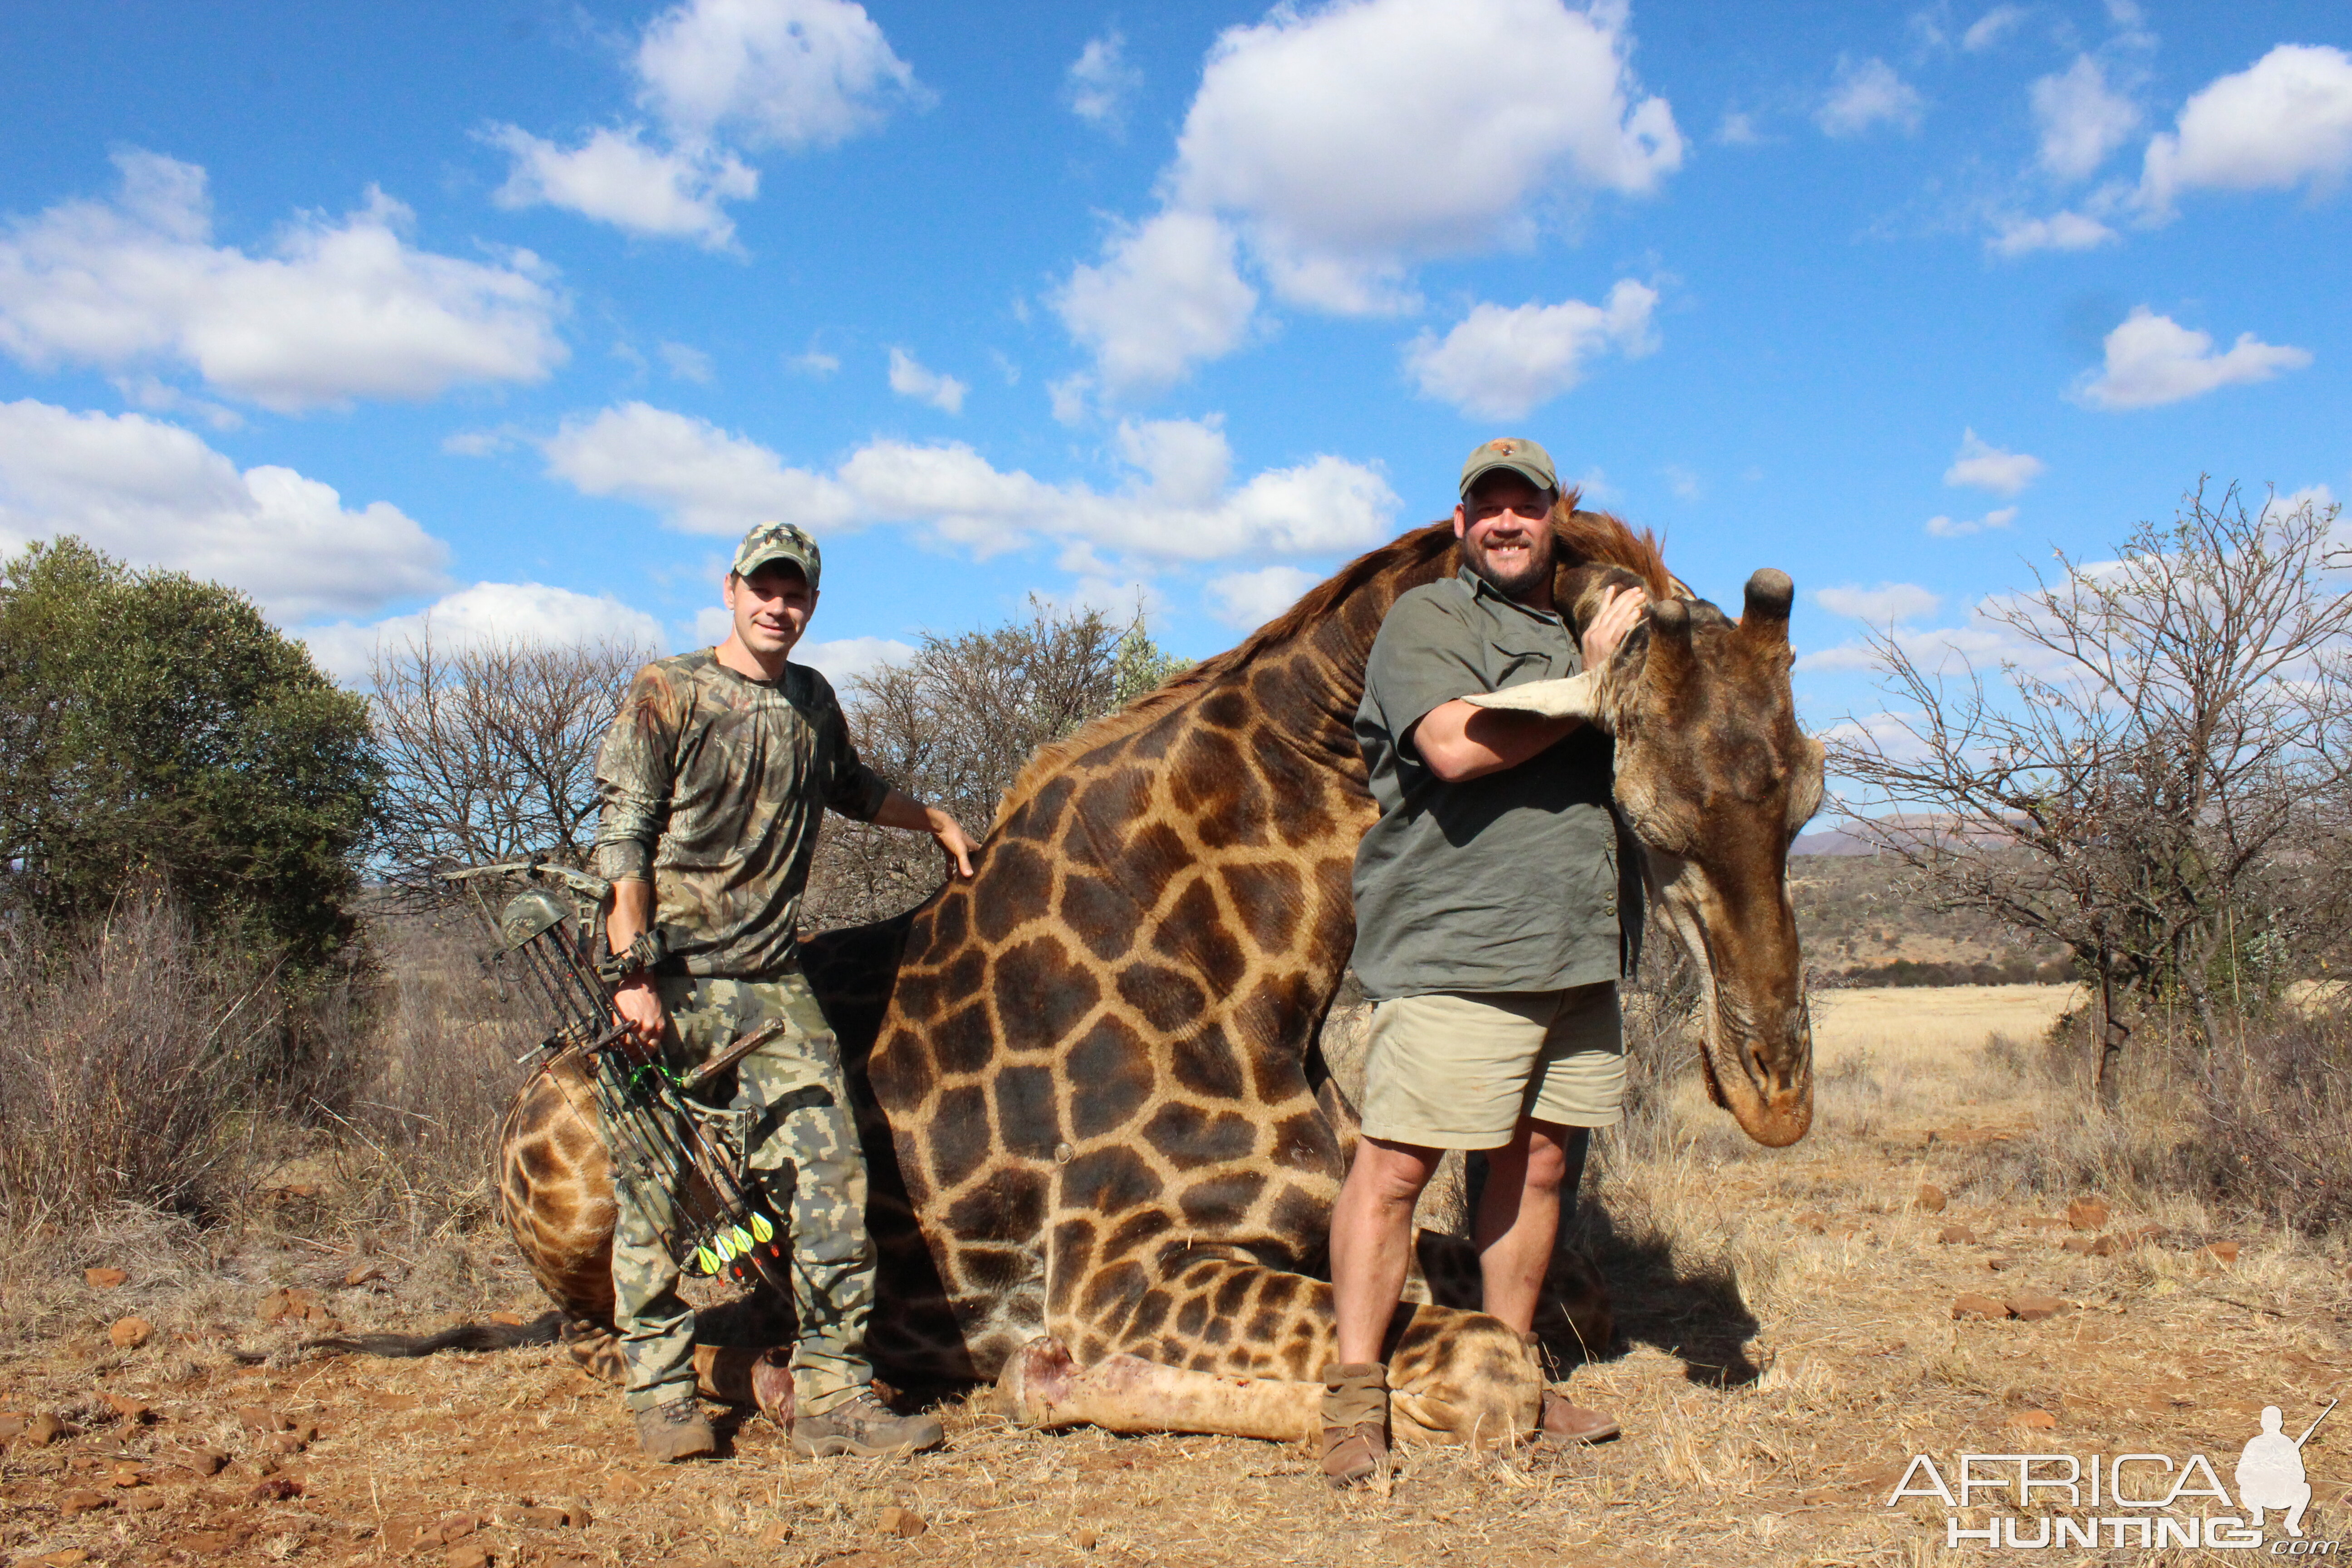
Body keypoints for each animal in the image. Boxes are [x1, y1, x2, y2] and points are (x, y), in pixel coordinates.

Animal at [491, 503, 1816, 1448]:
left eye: (1807, 800)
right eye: (1648, 808)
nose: (1775, 1094)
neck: (1256, 971)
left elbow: (1566, 1293)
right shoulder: (1109, 1279)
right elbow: (1485, 1358)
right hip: (585, 1179)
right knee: (616, 1324)